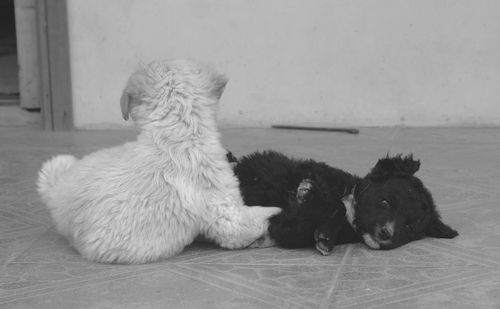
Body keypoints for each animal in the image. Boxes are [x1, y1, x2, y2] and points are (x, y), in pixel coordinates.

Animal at [37, 59, 282, 262]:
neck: (179, 133)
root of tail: (55, 194)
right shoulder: (228, 217)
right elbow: (257, 218)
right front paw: (277, 213)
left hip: (58, 165)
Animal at [230, 150, 458, 254]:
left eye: (409, 227)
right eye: (385, 202)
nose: (386, 234)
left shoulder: (287, 228)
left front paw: (325, 235)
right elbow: (333, 203)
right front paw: (310, 193)